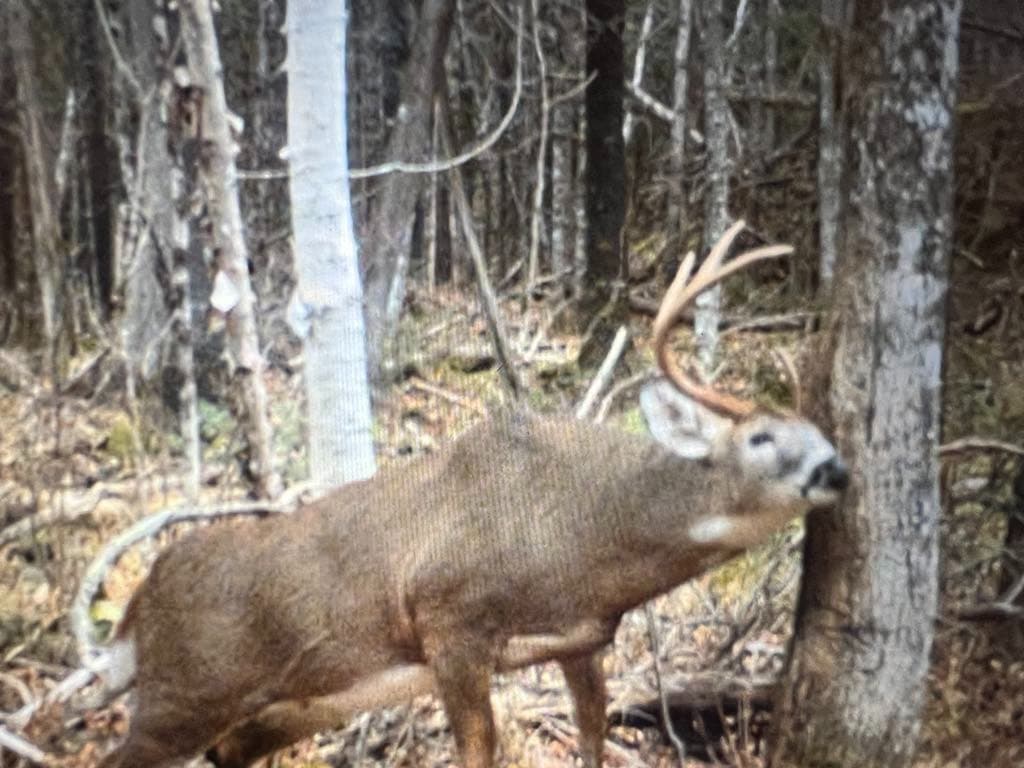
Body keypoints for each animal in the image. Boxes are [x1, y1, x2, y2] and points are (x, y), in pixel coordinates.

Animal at [93, 220, 848, 768]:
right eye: (761, 438)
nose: (835, 470)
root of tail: (139, 602)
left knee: (229, 753)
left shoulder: (580, 637)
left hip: (271, 708)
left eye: (820, 430)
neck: (586, 537)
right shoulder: (449, 619)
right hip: (182, 695)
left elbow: (593, 734)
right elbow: (480, 750)